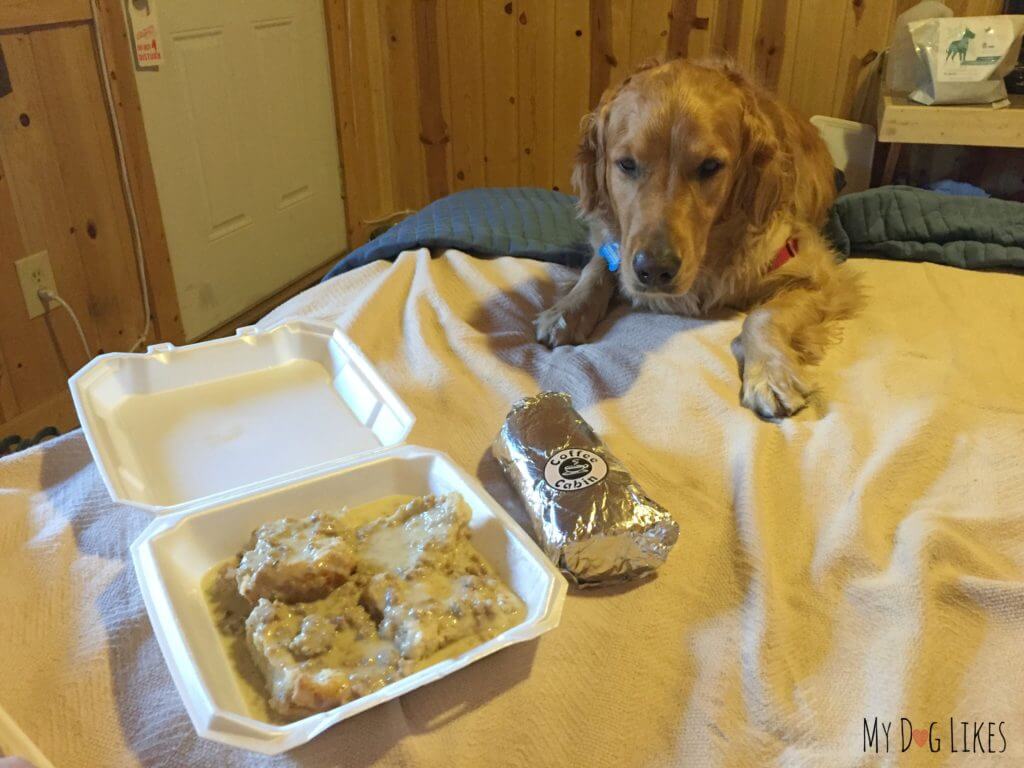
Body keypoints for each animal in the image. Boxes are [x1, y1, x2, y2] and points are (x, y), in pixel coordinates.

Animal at [540, 58, 860, 421]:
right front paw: (566, 310)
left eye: (710, 166)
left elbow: (762, 316)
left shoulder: (818, 275)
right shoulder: (613, 243)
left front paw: (770, 372)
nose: (654, 270)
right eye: (626, 164)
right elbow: (597, 268)